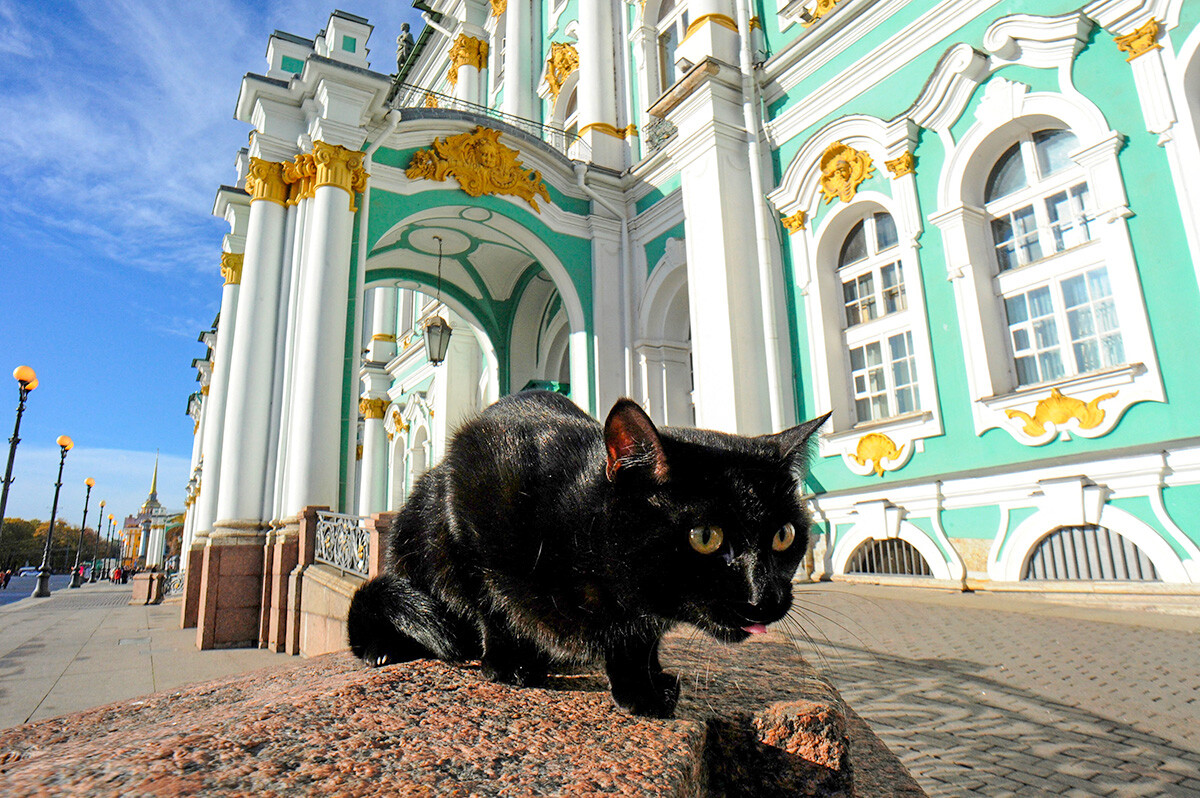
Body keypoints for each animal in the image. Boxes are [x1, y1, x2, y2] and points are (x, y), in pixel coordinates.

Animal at [348, 388, 830, 720]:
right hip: (416, 523)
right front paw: (508, 664)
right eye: (705, 536)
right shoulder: (472, 480)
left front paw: (643, 689)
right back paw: (386, 648)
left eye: (784, 535)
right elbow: (487, 598)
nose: (765, 598)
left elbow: (640, 642)